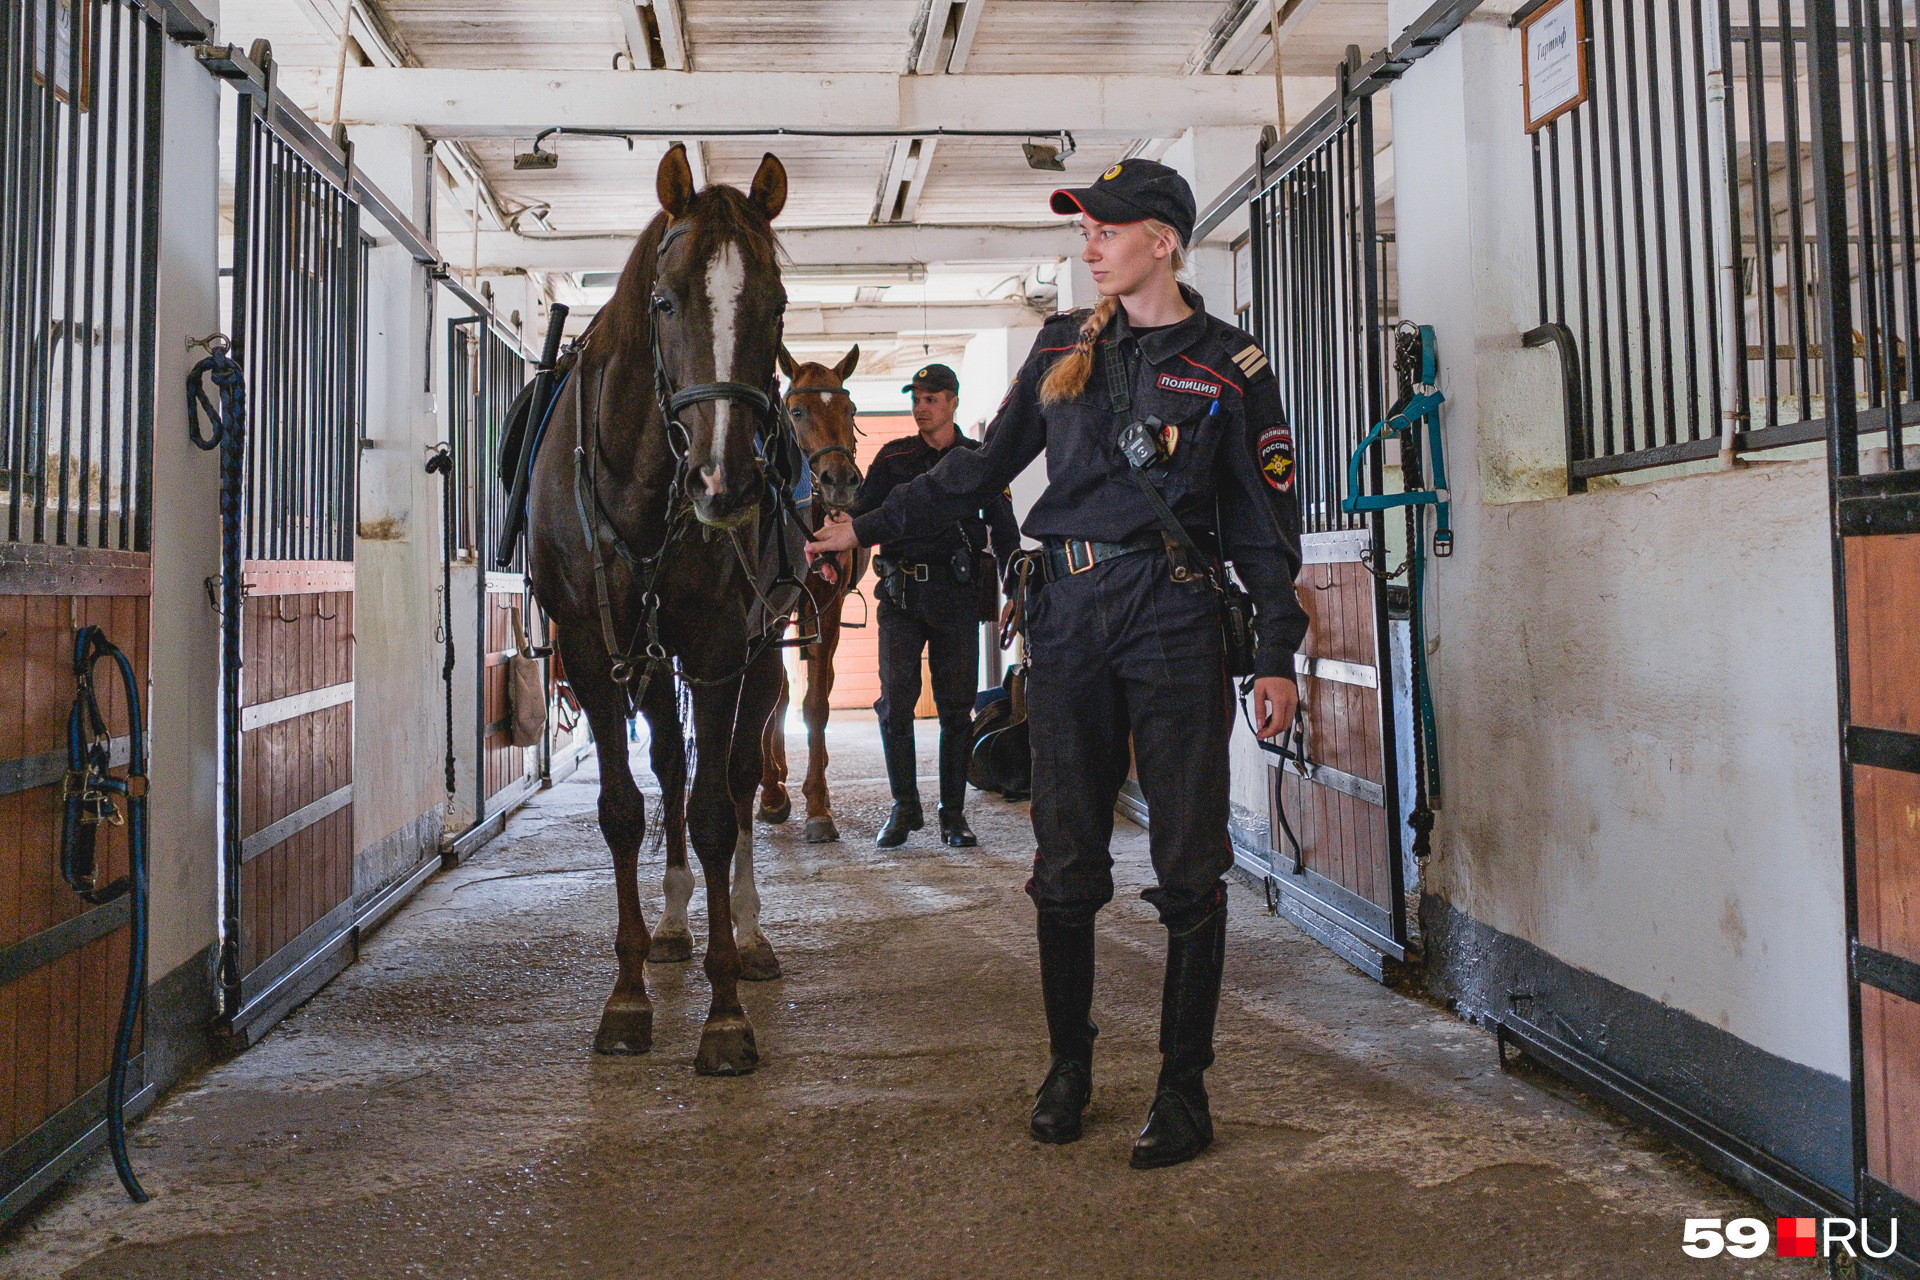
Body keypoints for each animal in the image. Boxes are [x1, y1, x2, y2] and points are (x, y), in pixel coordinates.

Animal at [526, 144, 794, 1074]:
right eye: (665, 300)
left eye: (776, 305)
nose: (726, 484)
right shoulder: (591, 652)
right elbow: (623, 810)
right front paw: (628, 996)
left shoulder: (715, 649)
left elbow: (716, 812)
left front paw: (726, 1014)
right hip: (645, 662)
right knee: (673, 766)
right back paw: (676, 926)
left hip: (762, 651)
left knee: (737, 780)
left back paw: (746, 935)